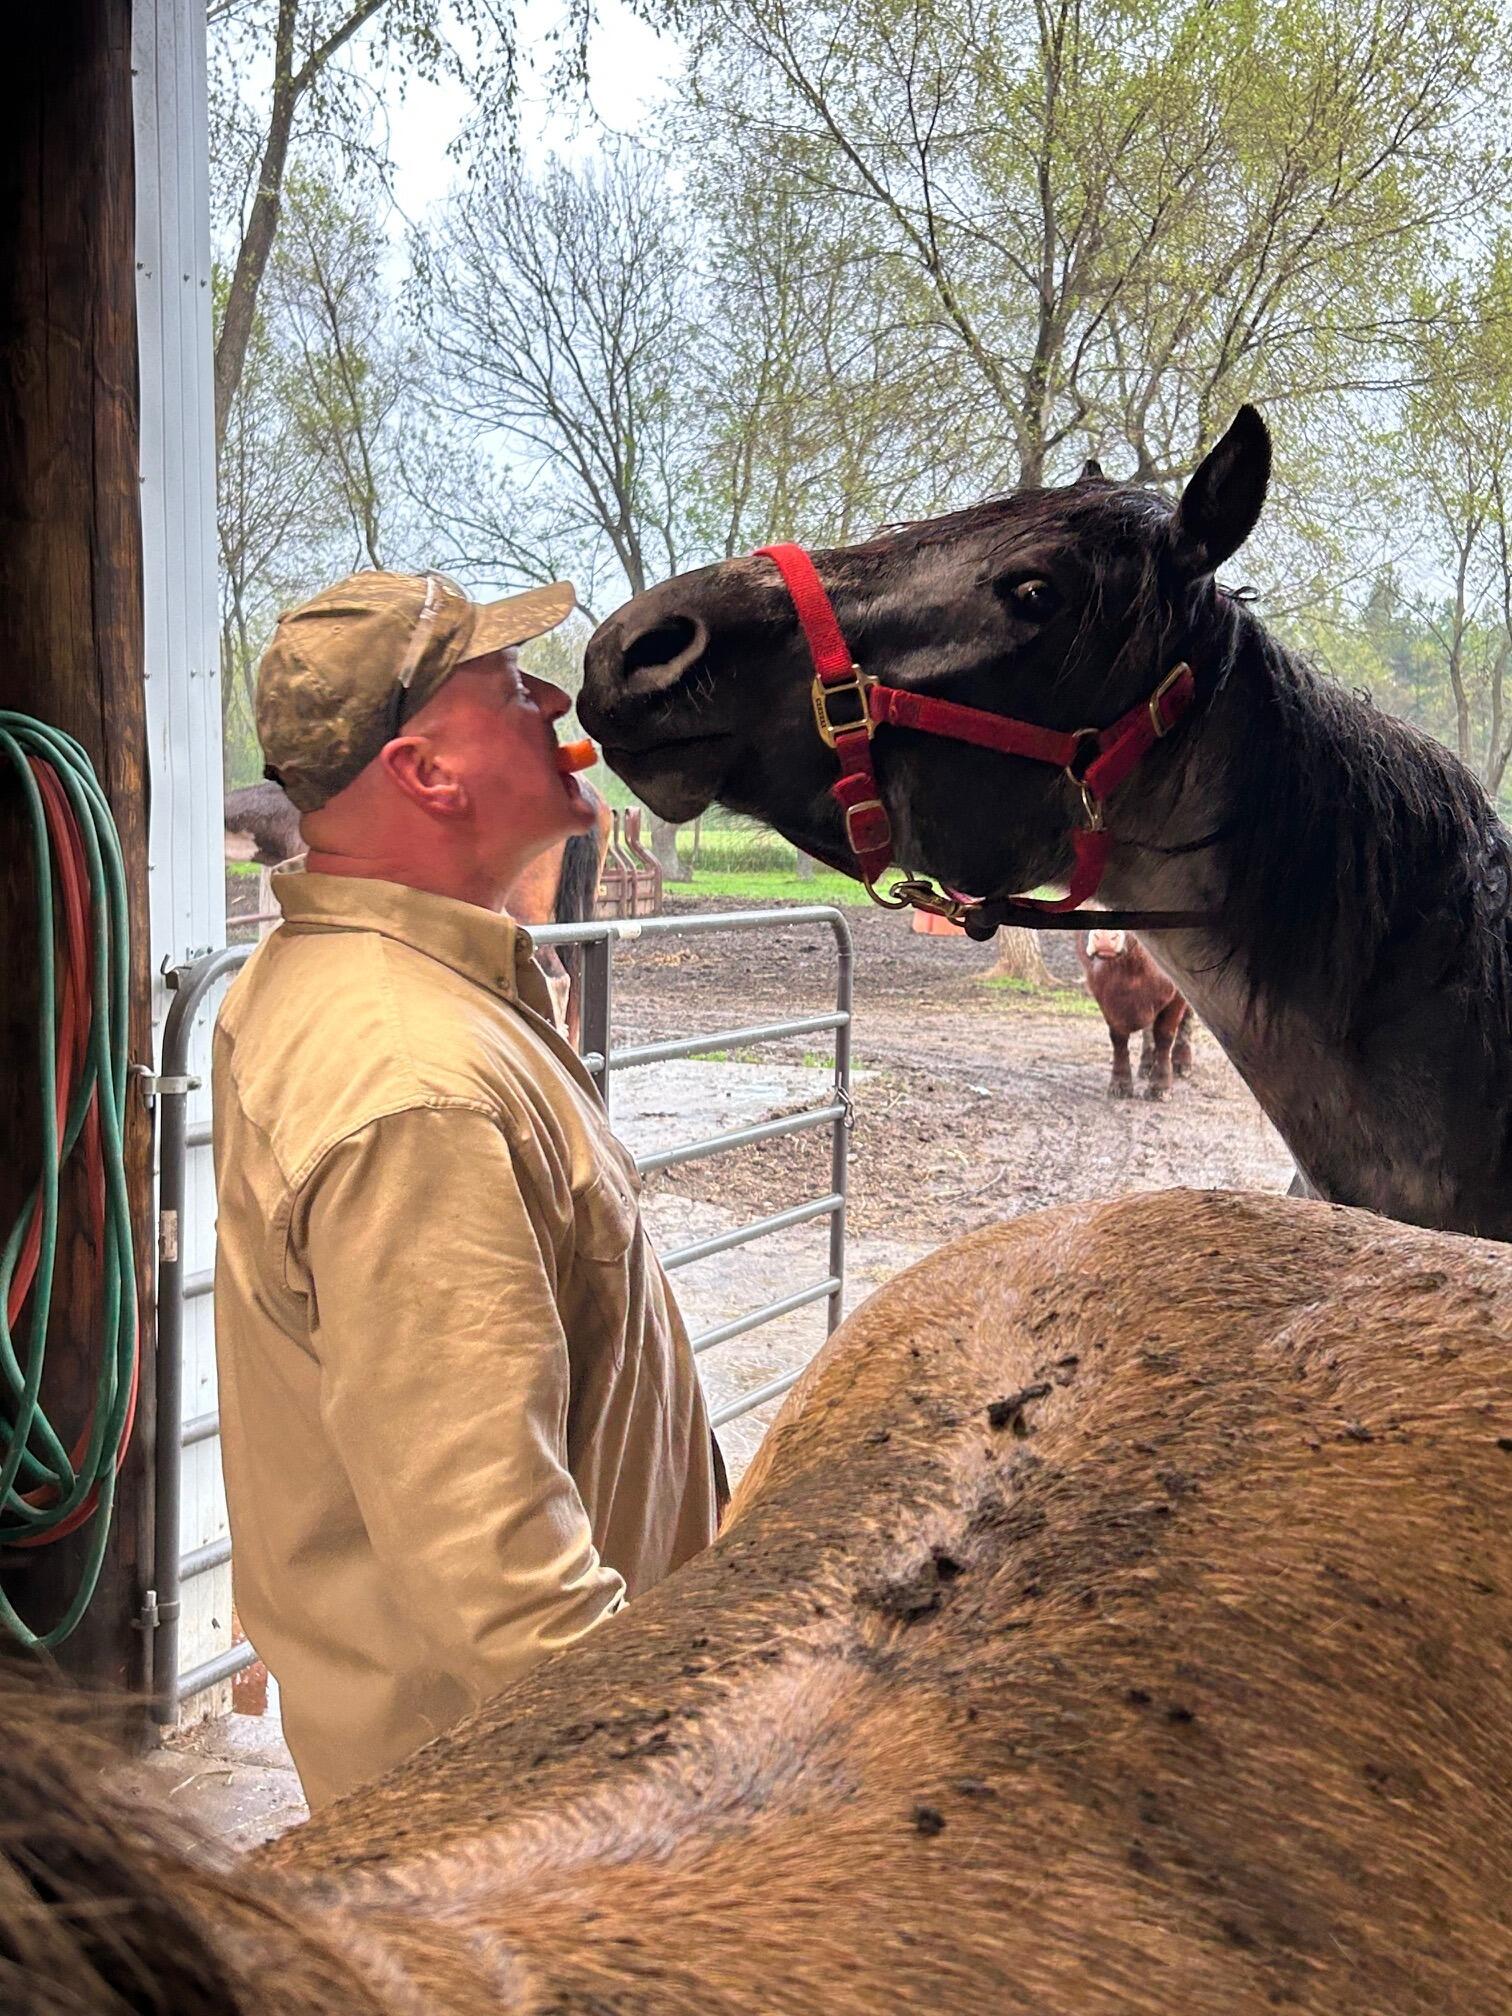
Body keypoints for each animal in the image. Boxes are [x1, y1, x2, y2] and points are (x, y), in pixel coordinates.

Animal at [1077, 927, 1193, 1099]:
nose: (1104, 938)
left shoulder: (1177, 993)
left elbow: (1165, 1036)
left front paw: (1160, 1086)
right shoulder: (1102, 992)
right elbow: (1118, 1039)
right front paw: (1120, 1084)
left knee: (1188, 1019)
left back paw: (1182, 1064)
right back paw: (1147, 1064)